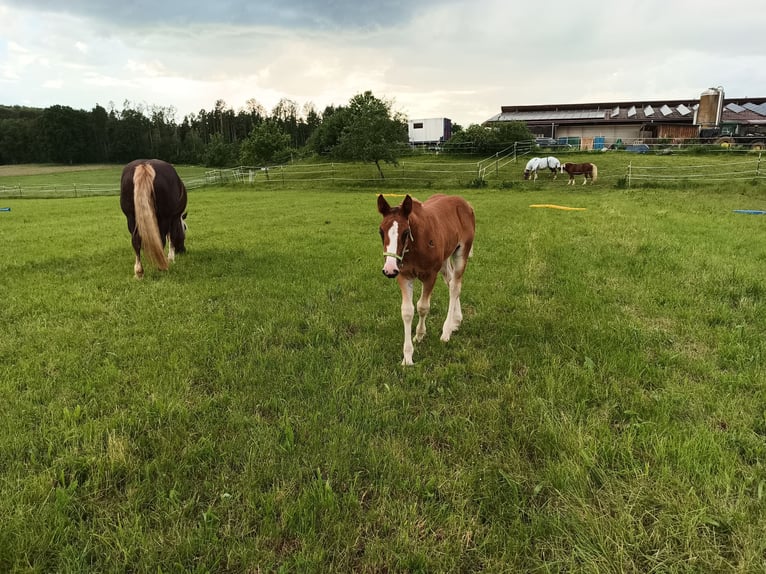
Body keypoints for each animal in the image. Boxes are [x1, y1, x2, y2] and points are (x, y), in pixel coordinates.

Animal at [376, 194, 474, 364]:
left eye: (405, 232)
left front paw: (420, 334)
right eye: (381, 231)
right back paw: (456, 321)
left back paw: (446, 331)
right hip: (444, 259)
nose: (389, 270)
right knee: (450, 281)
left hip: (462, 252)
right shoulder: (404, 275)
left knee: (455, 287)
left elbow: (422, 307)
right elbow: (407, 311)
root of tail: (465, 203)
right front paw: (407, 356)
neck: (415, 246)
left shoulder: (430, 275)